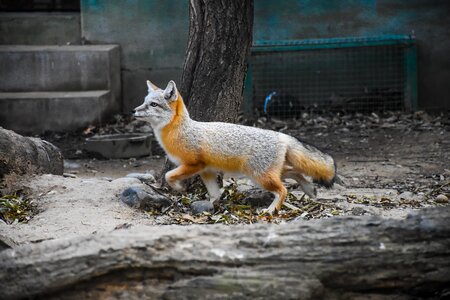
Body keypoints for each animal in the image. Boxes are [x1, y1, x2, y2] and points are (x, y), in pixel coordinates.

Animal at [132, 81, 336, 214]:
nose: (134, 111)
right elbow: (215, 194)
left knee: (283, 189)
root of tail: (280, 135)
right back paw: (310, 189)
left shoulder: (194, 164)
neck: (181, 130)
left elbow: (169, 175)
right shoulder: (206, 170)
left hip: (260, 177)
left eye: (153, 104)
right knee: (294, 173)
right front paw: (211, 206)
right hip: (264, 174)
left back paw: (271, 210)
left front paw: (178, 187)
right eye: (144, 102)